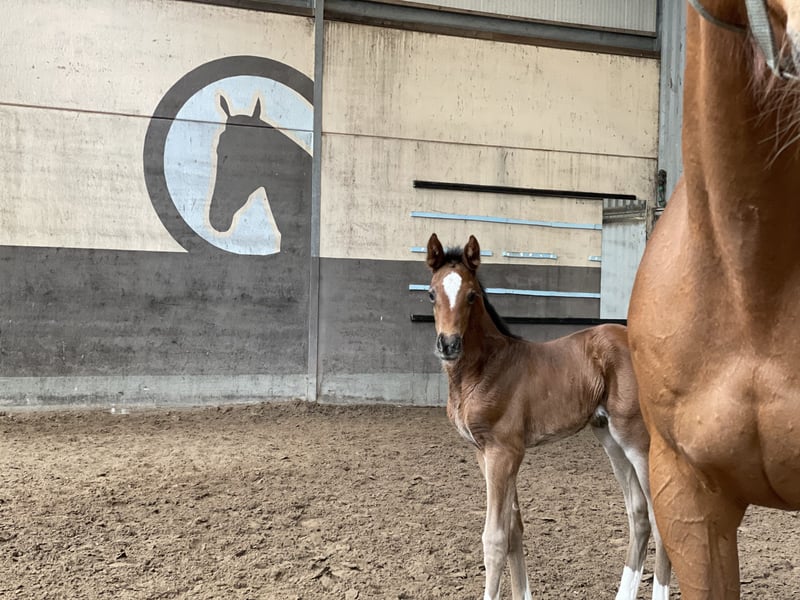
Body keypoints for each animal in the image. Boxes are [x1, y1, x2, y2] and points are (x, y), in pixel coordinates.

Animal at [425, 233, 671, 600]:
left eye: (471, 295)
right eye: (431, 293)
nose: (449, 345)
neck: (485, 369)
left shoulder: (503, 451)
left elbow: (495, 538)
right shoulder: (486, 454)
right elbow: (514, 530)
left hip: (636, 439)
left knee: (657, 518)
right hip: (610, 438)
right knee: (638, 515)